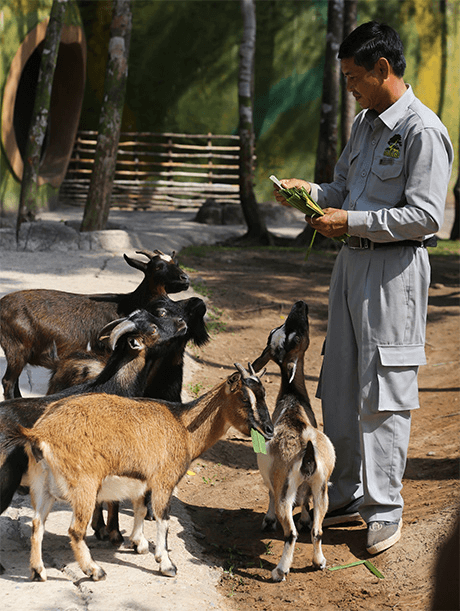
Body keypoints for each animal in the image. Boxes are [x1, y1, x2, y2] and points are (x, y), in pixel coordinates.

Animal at [0, 250, 189, 402]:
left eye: (176, 263)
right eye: (158, 267)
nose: (185, 279)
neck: (127, 303)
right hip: (16, 348)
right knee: (8, 381)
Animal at [6, 364, 274, 584]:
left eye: (263, 394)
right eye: (244, 398)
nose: (270, 430)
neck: (183, 426)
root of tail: (41, 434)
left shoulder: (144, 480)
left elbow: (140, 508)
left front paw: (139, 543)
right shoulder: (164, 481)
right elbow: (163, 519)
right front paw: (166, 564)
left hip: (41, 486)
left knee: (37, 524)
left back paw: (38, 571)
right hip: (84, 486)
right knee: (75, 530)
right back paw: (95, 571)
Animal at [252, 302, 334, 584]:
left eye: (290, 334)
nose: (301, 305)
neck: (293, 399)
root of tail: (307, 451)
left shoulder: (271, 477)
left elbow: (267, 491)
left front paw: (267, 521)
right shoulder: (309, 487)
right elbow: (306, 502)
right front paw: (306, 518)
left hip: (285, 493)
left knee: (291, 534)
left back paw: (280, 571)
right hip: (322, 488)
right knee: (318, 531)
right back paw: (319, 561)